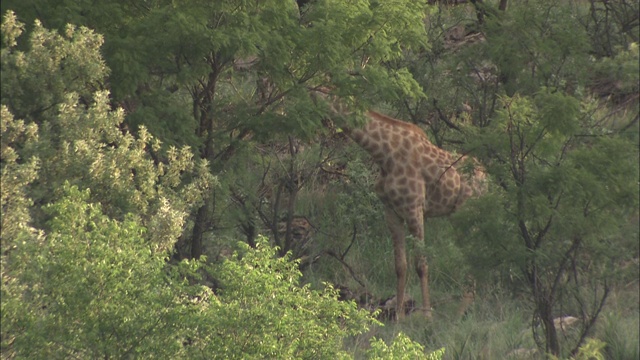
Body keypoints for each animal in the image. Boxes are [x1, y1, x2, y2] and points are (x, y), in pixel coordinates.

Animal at [344, 110, 484, 318]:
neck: (384, 153)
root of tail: (487, 178)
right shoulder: (391, 212)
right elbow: (400, 266)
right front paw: (399, 316)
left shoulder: (414, 208)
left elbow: (421, 265)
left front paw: (427, 315)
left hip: (466, 212)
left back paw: (459, 313)